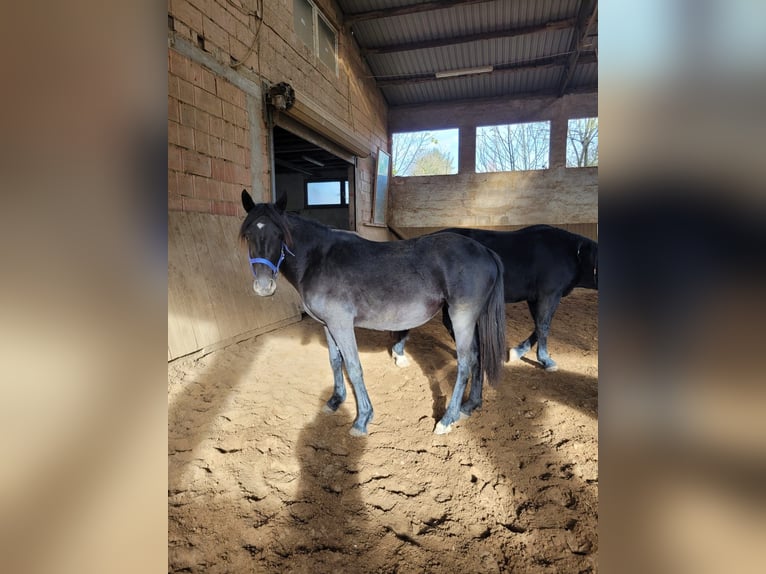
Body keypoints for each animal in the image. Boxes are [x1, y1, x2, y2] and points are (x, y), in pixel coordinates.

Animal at [239, 190, 506, 436]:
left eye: (279, 234)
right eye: (249, 234)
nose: (264, 287)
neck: (318, 259)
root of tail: (485, 251)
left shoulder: (342, 324)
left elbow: (353, 367)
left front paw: (362, 419)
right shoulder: (327, 325)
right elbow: (335, 362)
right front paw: (335, 401)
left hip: (461, 318)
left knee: (465, 363)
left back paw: (447, 419)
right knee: (477, 356)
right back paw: (470, 405)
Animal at [393, 225, 598, 372]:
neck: (573, 253)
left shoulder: (536, 298)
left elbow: (538, 326)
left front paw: (516, 352)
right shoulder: (549, 295)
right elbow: (544, 326)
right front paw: (546, 361)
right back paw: (400, 355)